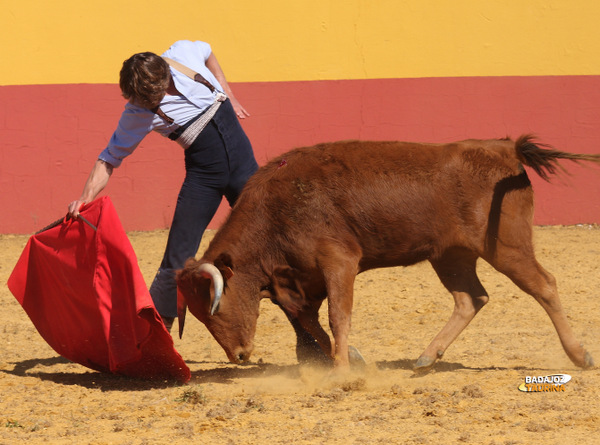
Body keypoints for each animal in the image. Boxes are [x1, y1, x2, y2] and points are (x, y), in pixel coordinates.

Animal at [176, 136, 596, 372]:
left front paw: (343, 369)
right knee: (470, 298)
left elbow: (337, 316)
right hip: (451, 256)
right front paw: (349, 360)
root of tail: (504, 148)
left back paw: (580, 356)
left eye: (216, 306)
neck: (275, 210)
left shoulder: (339, 262)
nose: (239, 355)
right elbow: (312, 321)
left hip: (506, 247)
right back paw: (426, 358)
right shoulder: (298, 283)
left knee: (544, 285)